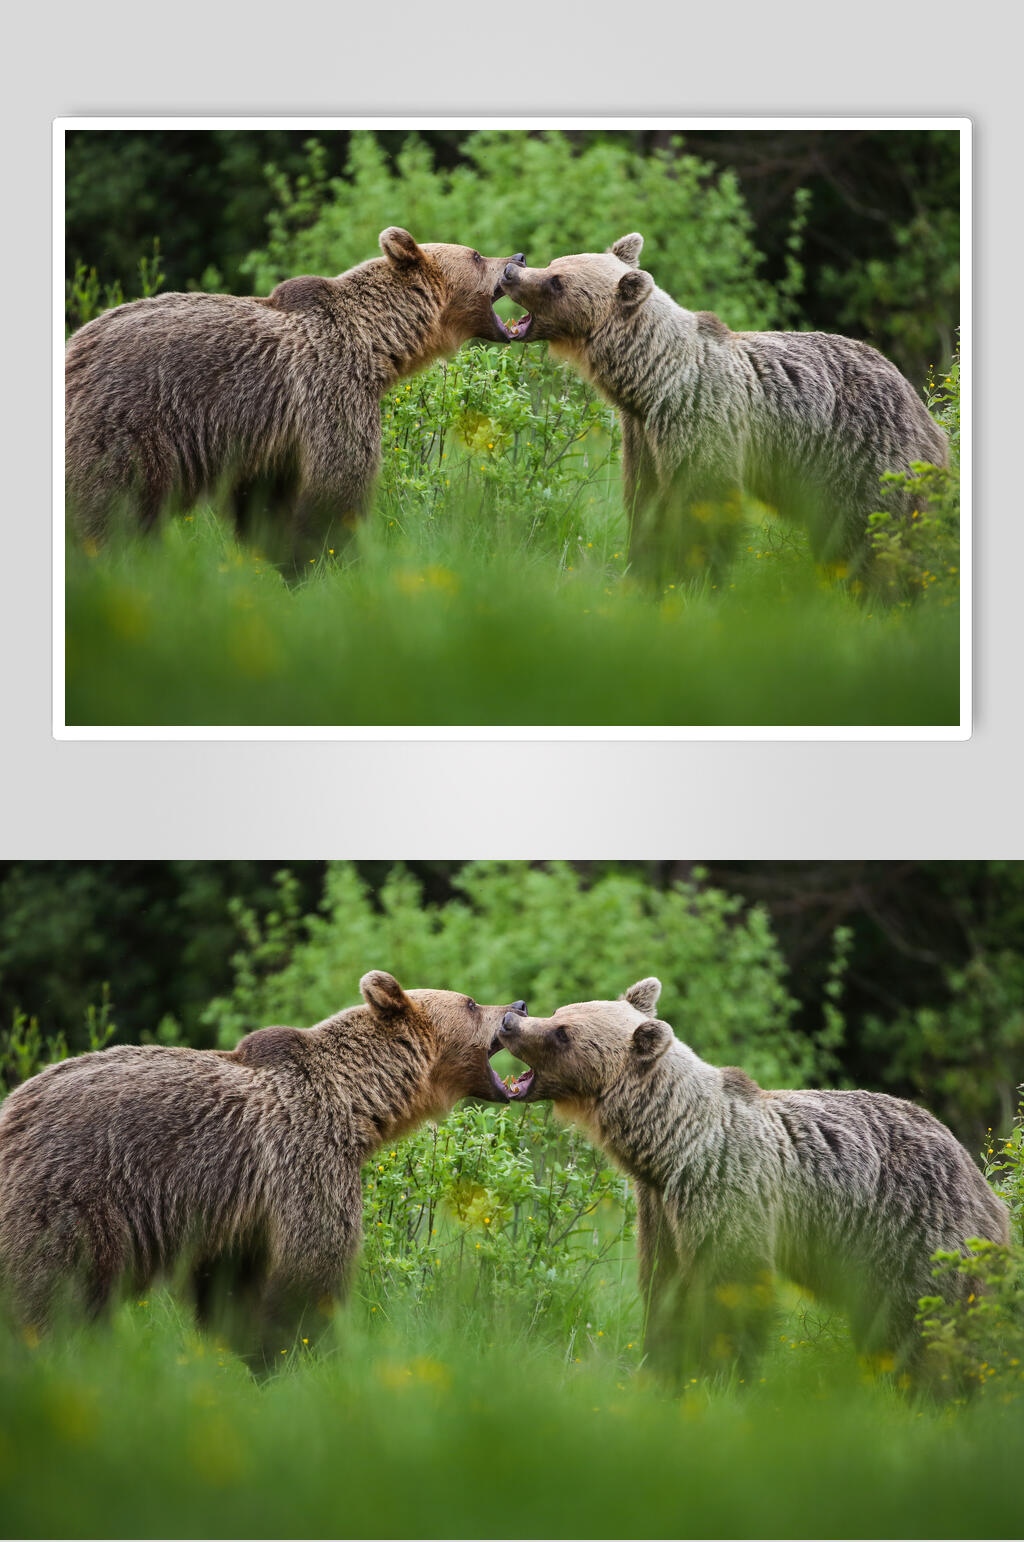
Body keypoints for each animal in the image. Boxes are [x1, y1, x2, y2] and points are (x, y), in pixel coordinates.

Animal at [0, 972, 527, 1366]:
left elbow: (230, 1285)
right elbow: (311, 1268)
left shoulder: (236, 1213)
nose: (519, 1004)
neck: (358, 1103)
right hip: (69, 1197)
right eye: (471, 1002)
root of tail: (12, 1113)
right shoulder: (305, 1157)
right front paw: (309, 1355)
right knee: (51, 1296)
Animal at [65, 232, 527, 565]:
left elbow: (264, 502)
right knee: (107, 509)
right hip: (126, 424)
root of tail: (75, 350)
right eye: (476, 254)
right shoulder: (331, 389)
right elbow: (337, 486)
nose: (519, 257)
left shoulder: (272, 439)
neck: (378, 343)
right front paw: (330, 561)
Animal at [495, 978, 1008, 1378]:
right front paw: (664, 1362)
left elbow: (732, 1285)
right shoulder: (661, 1207)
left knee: (925, 1322)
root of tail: (980, 1179)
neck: (670, 1145)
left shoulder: (725, 1186)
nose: (510, 1020)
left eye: (562, 1032)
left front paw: (721, 1371)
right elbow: (664, 1287)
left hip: (915, 1231)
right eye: (560, 1011)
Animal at [500, 236, 949, 586]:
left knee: (874, 535)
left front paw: (694, 578)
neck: (651, 379)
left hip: (866, 455)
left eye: (556, 281)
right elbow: (645, 503)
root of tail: (923, 409)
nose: (510, 271)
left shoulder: (699, 416)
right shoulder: (643, 434)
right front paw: (644, 570)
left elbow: (705, 502)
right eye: (555, 263)